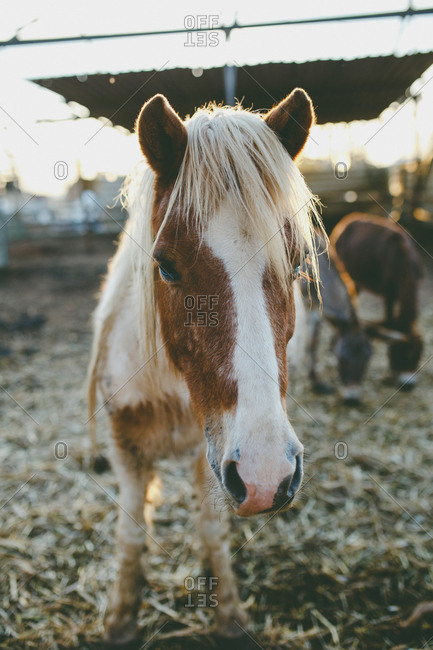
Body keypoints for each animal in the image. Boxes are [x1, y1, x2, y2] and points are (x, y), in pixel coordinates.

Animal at [87, 90, 324, 644]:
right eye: (166, 265)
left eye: (298, 262)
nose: (267, 475)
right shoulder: (127, 450)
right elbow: (130, 532)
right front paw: (122, 618)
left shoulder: (209, 450)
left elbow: (212, 528)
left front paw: (229, 615)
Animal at [289, 232, 372, 404]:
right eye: (343, 360)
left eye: (366, 361)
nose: (353, 400)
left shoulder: (316, 311)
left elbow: (313, 344)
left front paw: (317, 383)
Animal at [331, 212, 423, 388]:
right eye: (400, 356)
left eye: (416, 357)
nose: (408, 386)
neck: (402, 258)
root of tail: (349, 219)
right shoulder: (389, 293)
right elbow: (389, 320)